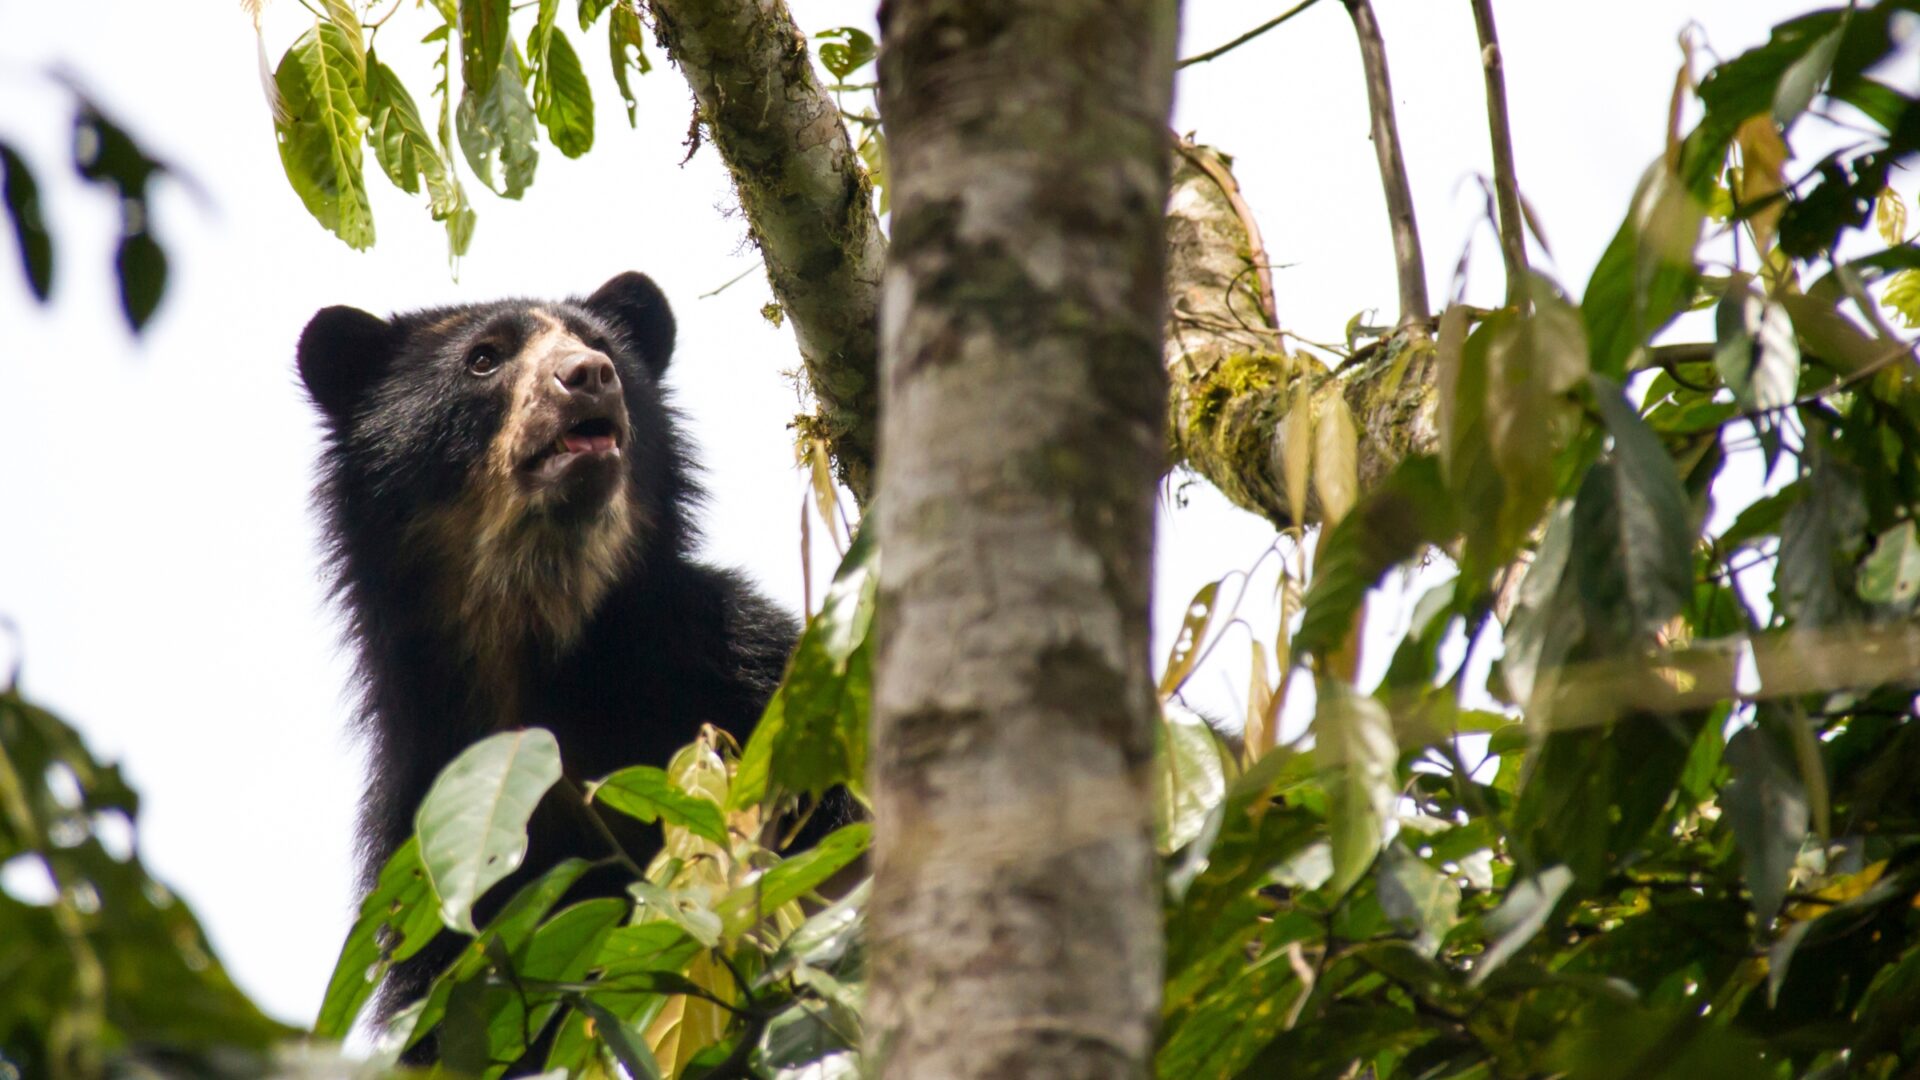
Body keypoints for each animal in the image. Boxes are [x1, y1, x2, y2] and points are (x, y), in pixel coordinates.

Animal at [293, 269, 802, 1053]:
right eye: (484, 358)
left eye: (600, 346)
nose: (589, 376)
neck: (540, 640)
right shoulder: (427, 829)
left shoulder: (744, 670)